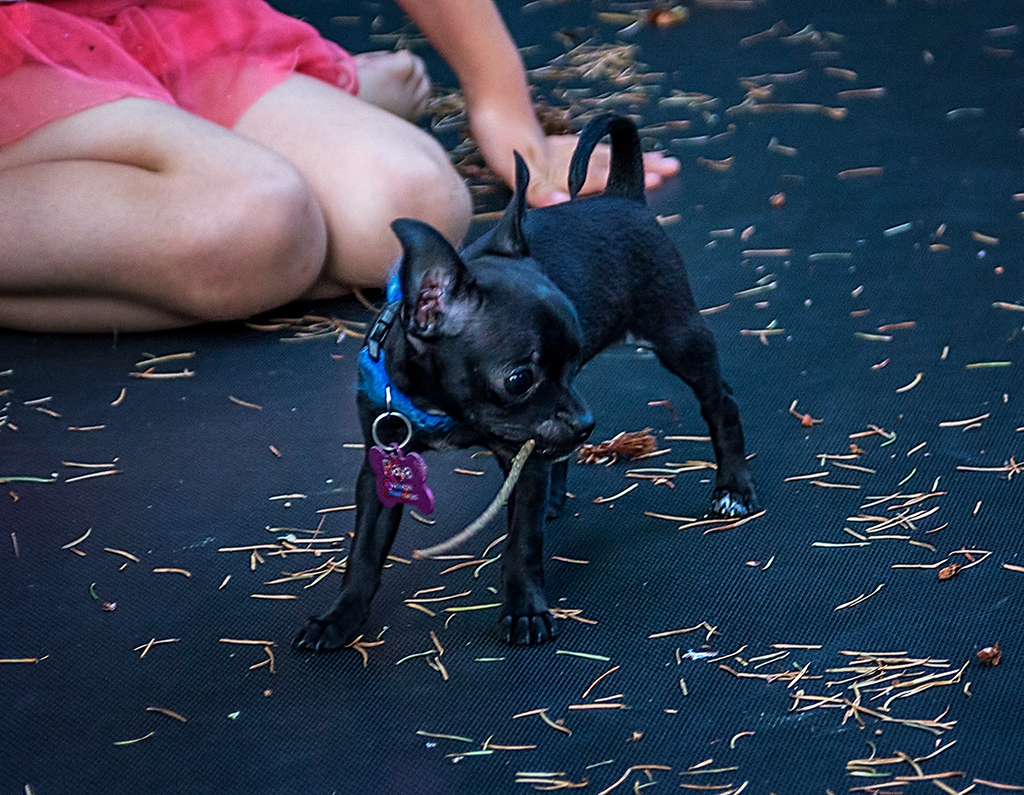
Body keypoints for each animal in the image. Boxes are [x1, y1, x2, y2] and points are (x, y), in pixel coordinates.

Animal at [292, 111, 757, 651]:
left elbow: (521, 541)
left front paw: (524, 609)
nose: (586, 424)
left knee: (721, 402)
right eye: (520, 379)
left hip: (677, 337)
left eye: (569, 356)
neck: (441, 411)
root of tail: (623, 195)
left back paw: (733, 486)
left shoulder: (525, 455)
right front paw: (340, 617)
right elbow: (364, 551)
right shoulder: (381, 469)